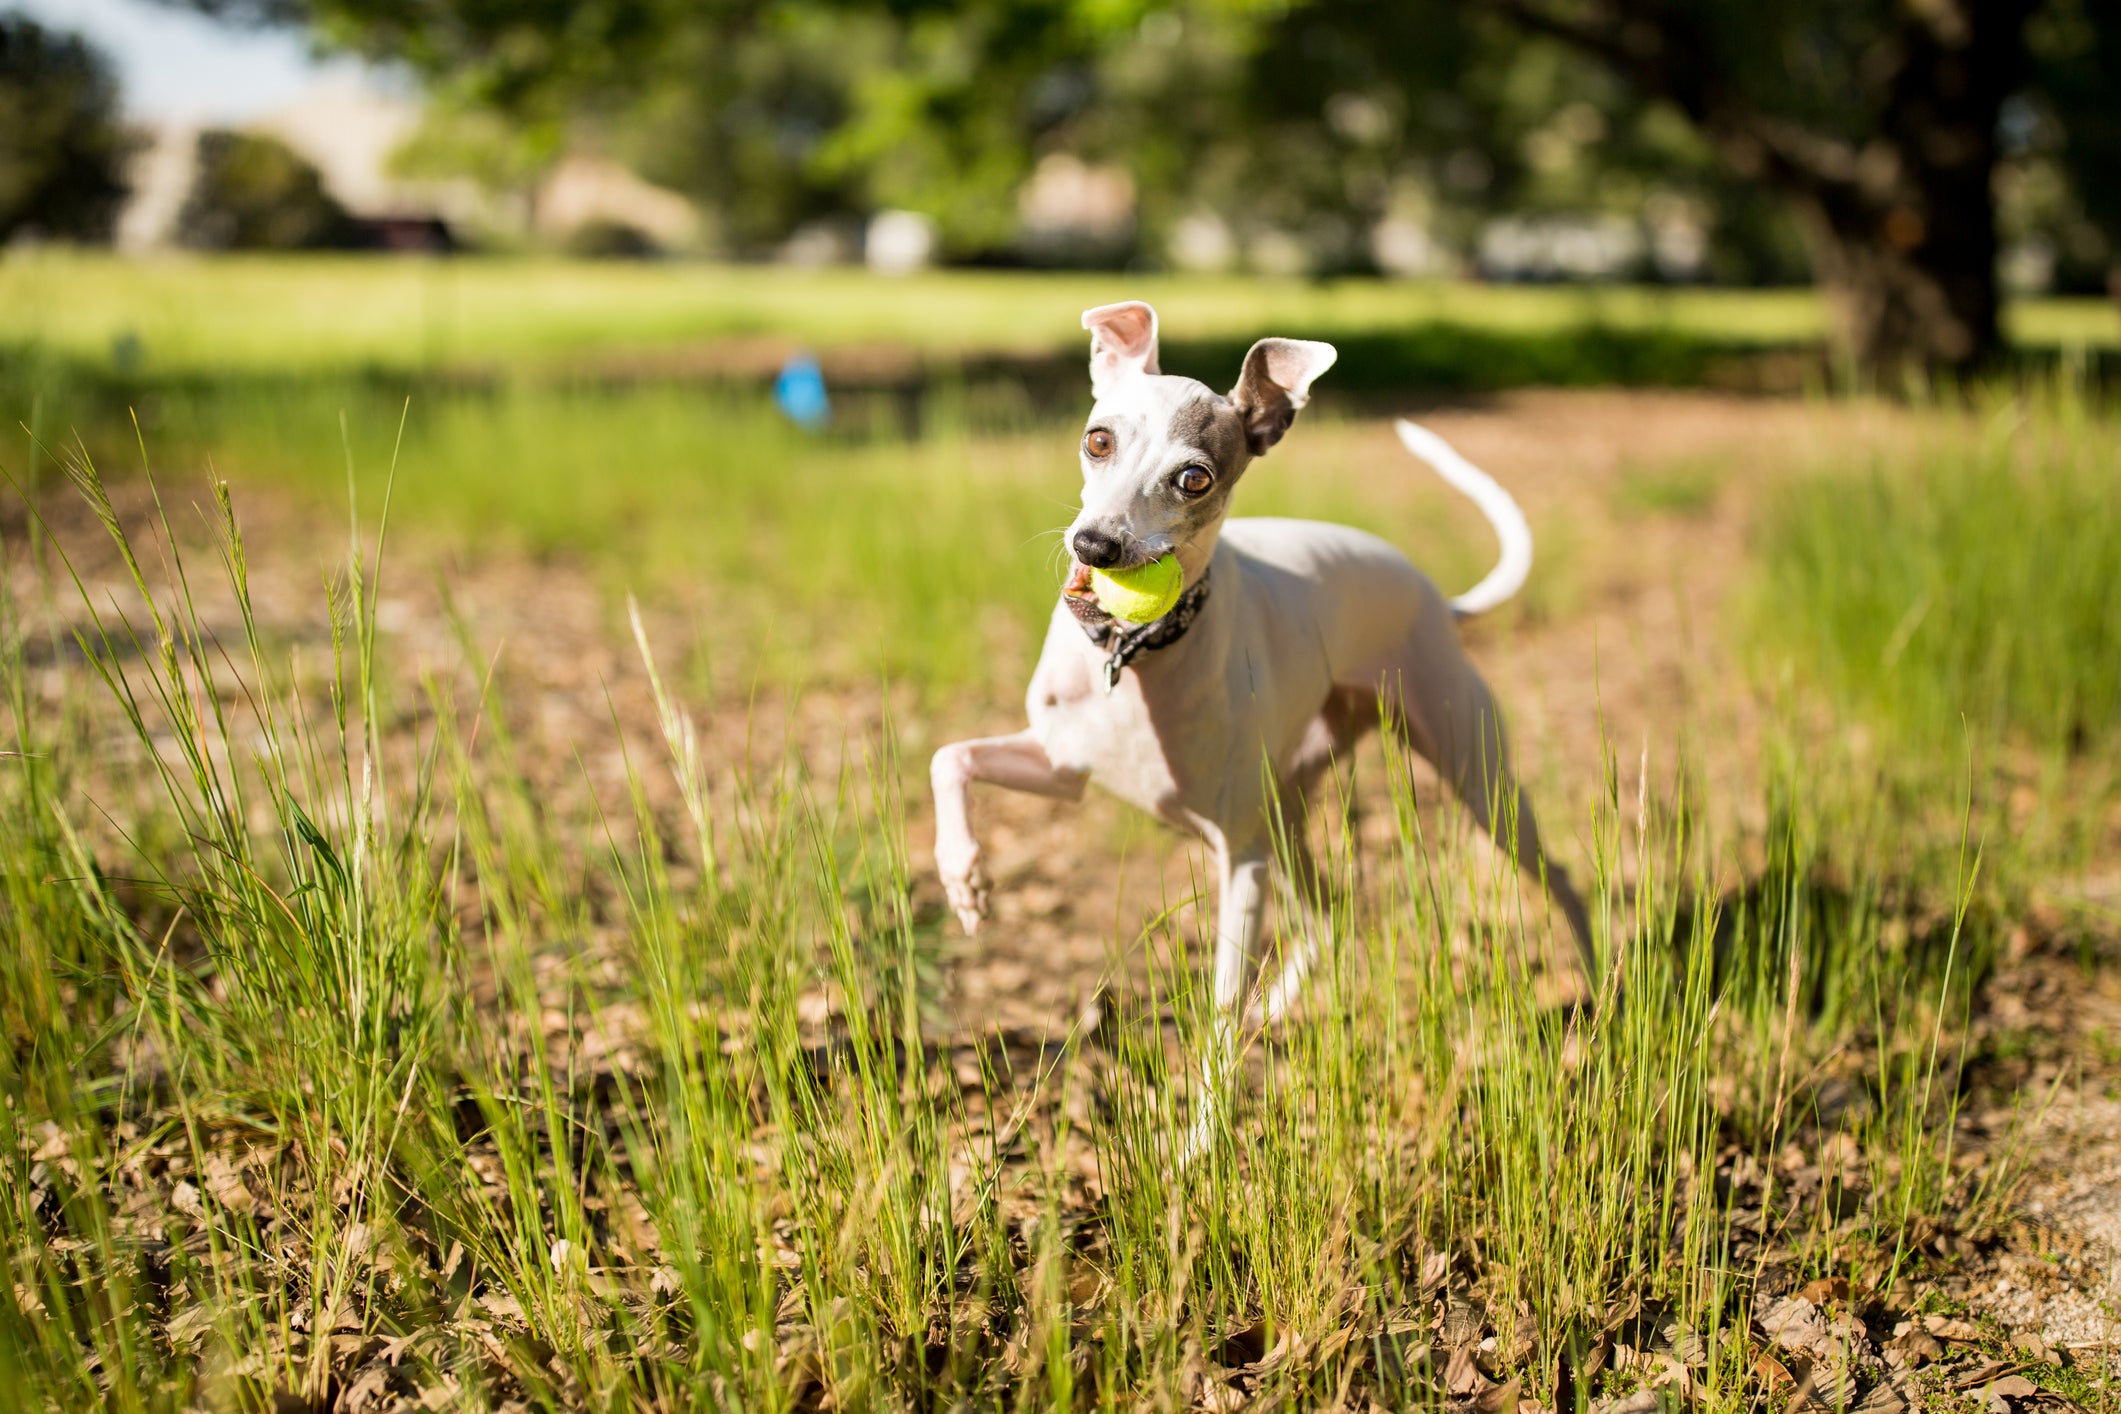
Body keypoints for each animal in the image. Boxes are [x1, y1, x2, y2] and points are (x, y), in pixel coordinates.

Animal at [928, 307, 1594, 1136]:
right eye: (1097, 439)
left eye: (1195, 477)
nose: (1095, 544)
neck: (1134, 657)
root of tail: (1436, 597)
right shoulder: (1062, 767)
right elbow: (948, 756)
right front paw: (964, 880)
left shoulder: (1239, 861)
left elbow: (1216, 1015)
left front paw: (1200, 1143)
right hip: (1292, 812)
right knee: (1333, 912)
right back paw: (1277, 1007)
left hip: (1476, 782)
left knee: (1558, 878)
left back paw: (1607, 988)